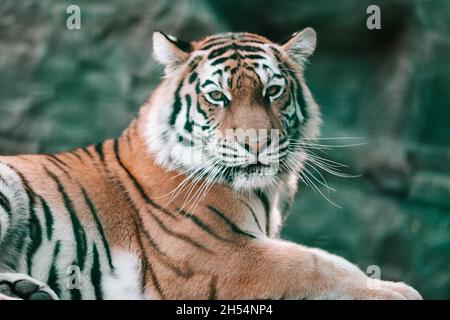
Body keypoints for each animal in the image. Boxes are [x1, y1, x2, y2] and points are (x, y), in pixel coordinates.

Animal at [0, 28, 422, 300]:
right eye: (217, 96)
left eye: (273, 90)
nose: (257, 143)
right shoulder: (217, 256)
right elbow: (315, 264)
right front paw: (398, 292)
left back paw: (26, 289)